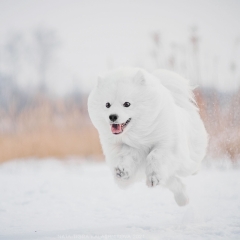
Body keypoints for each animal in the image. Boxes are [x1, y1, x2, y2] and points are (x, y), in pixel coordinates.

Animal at [88, 67, 208, 206]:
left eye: (127, 104)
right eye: (107, 104)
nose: (112, 116)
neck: (138, 135)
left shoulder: (166, 144)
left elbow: (155, 156)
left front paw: (153, 175)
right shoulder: (128, 148)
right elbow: (126, 156)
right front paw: (122, 171)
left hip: (186, 161)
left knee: (188, 167)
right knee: (174, 182)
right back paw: (182, 199)